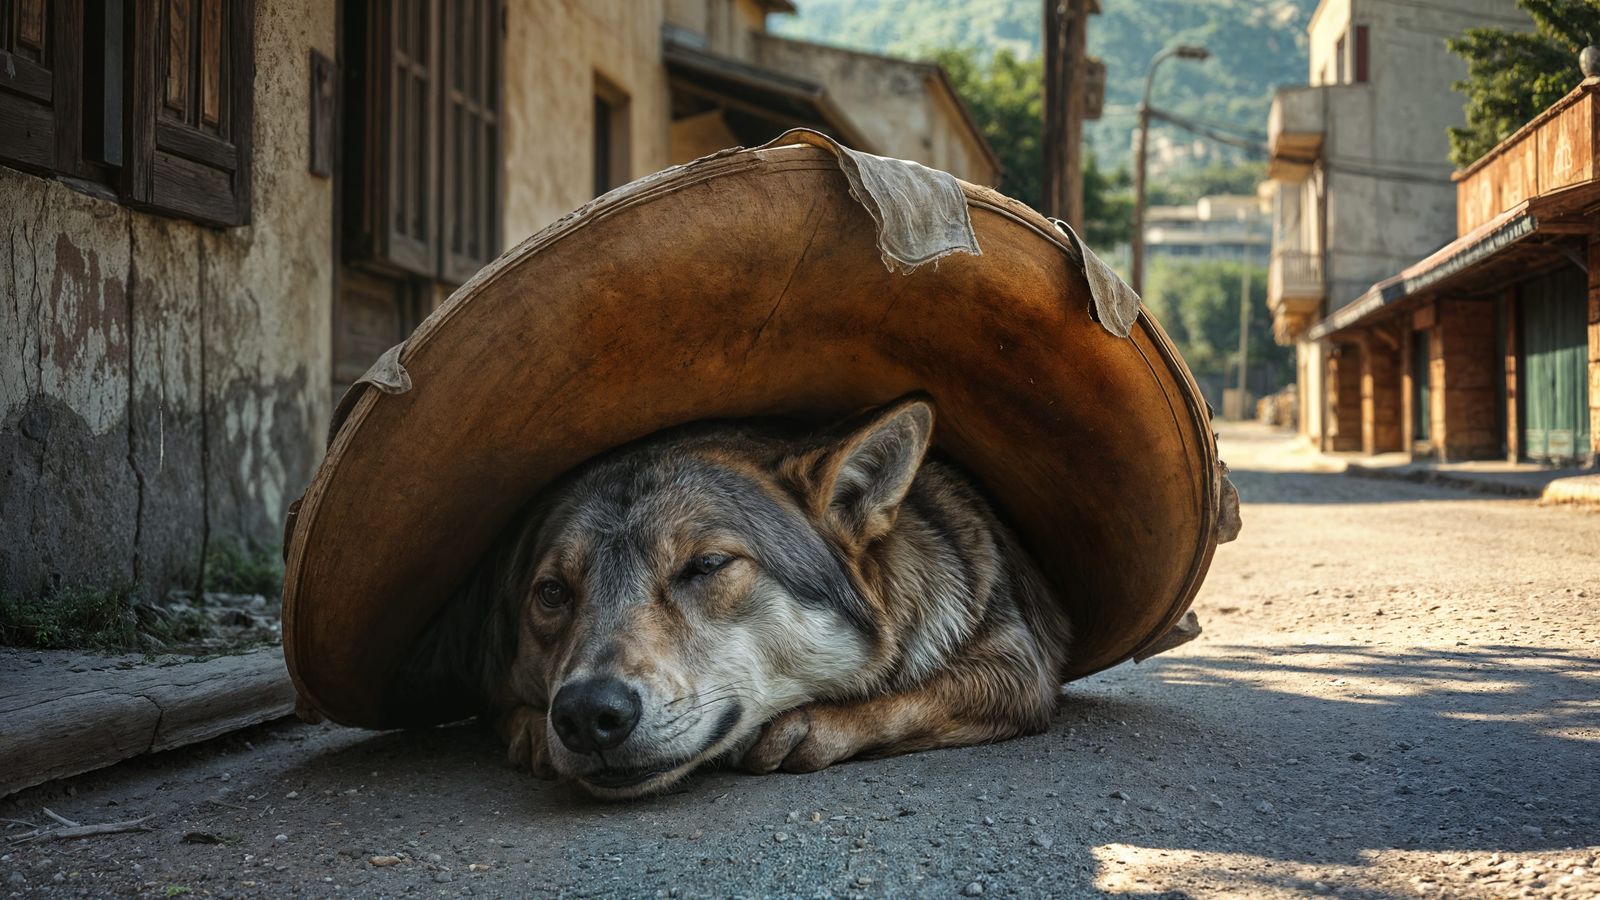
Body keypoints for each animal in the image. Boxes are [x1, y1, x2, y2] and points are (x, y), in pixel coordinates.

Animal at [398, 396, 1072, 798]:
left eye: (706, 565)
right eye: (552, 592)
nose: (587, 715)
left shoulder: (1018, 665)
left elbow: (909, 698)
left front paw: (809, 727)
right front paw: (535, 734)